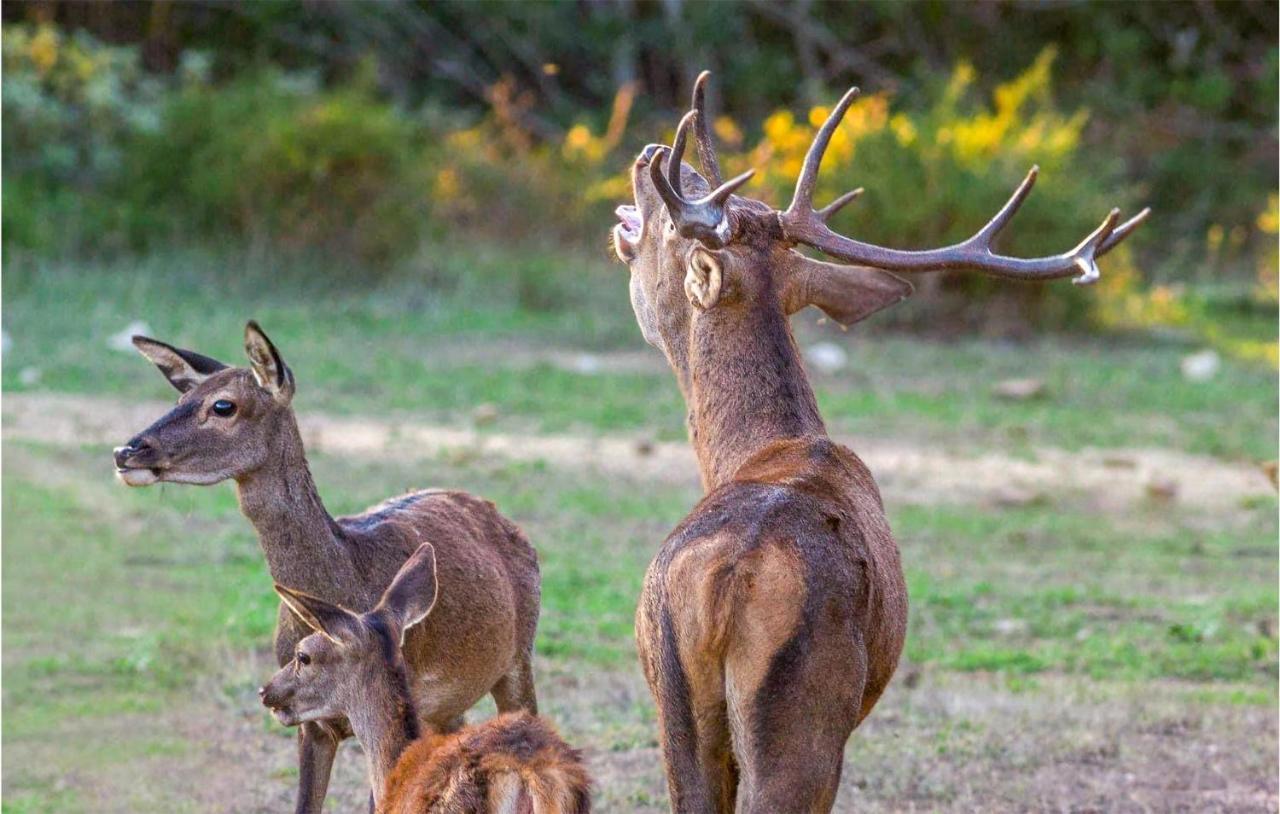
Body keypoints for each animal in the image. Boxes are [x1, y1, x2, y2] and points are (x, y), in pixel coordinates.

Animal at [111, 323, 545, 814]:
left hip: (519, 658)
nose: (126, 451)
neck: (348, 573)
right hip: (450, 707)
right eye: (180, 396)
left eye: (223, 405)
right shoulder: (310, 721)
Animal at [609, 73, 1152, 808]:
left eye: (669, 225)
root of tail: (729, 582)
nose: (649, 153)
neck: (753, 452)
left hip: (731, 714)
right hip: (759, 718)